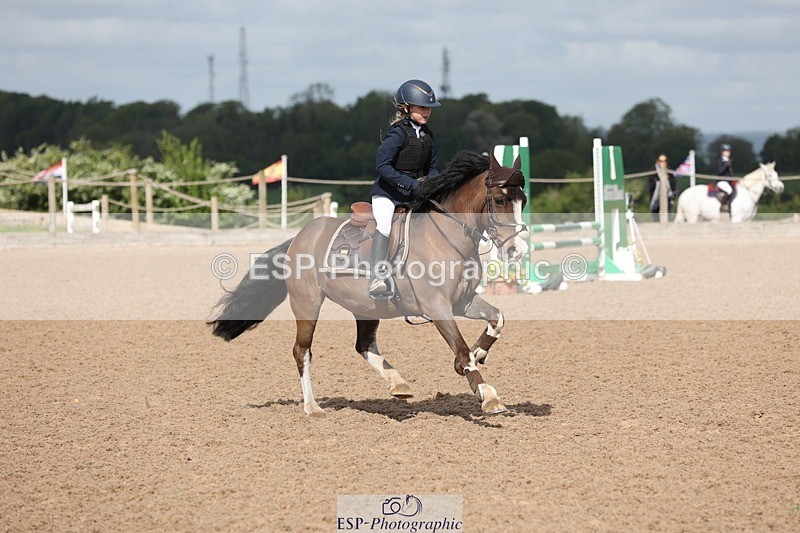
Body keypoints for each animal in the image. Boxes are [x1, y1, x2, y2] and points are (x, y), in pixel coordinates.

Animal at [208, 151, 530, 417]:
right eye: (500, 200)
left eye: (522, 201)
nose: (517, 250)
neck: (446, 235)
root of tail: (299, 237)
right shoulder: (438, 307)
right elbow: (460, 348)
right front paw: (489, 397)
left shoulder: (463, 302)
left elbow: (497, 319)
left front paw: (479, 355)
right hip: (307, 304)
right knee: (302, 351)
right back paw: (313, 408)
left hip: (364, 306)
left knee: (363, 345)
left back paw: (398, 384)